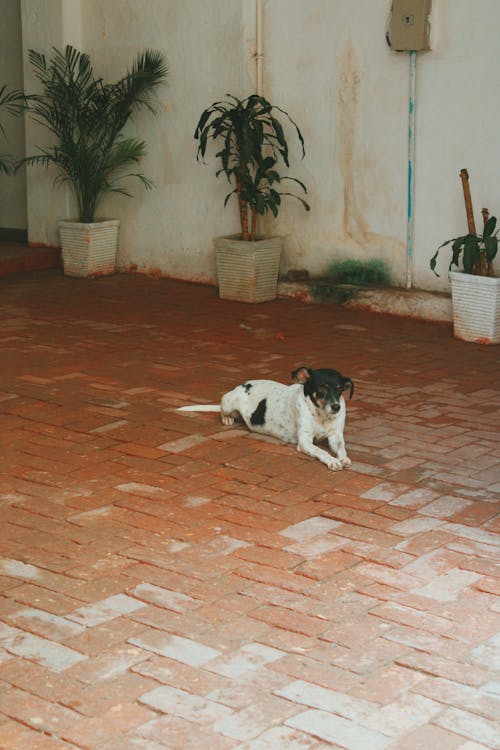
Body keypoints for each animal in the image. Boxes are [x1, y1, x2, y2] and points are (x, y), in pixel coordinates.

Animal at [178, 368, 354, 470]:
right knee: (222, 410)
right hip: (228, 401)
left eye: (340, 389)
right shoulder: (304, 442)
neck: (321, 415)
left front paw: (343, 457)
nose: (336, 407)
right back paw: (227, 418)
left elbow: (342, 448)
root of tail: (243, 384)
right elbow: (321, 451)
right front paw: (332, 460)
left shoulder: (336, 436)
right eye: (322, 387)